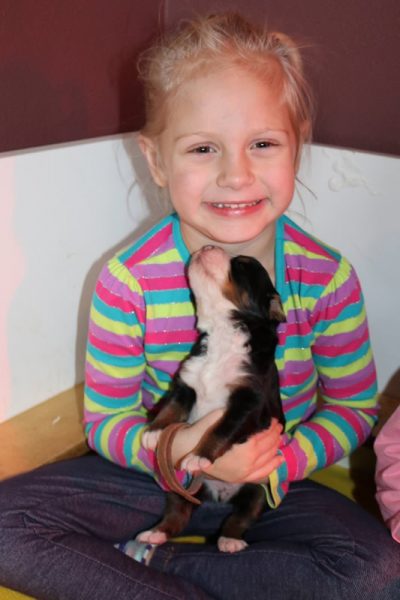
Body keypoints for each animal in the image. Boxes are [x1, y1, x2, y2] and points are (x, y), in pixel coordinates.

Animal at [139, 245, 286, 552]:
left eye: (242, 263)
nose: (207, 246)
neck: (222, 331)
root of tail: (218, 497)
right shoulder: (186, 383)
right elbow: (170, 408)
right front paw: (154, 432)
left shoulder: (248, 400)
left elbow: (222, 429)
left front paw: (198, 456)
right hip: (176, 485)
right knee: (178, 512)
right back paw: (155, 533)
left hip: (258, 490)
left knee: (241, 517)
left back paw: (230, 540)